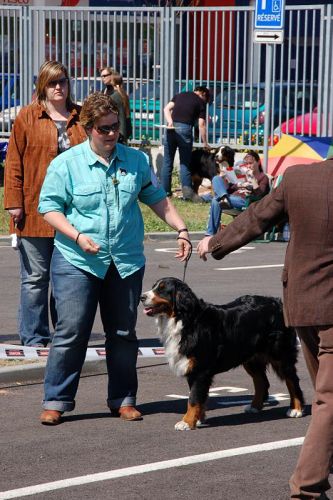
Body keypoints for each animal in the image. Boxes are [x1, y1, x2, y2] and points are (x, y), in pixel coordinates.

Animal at [140, 278, 304, 430]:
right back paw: (254, 406)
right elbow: (200, 397)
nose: (142, 297)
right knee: (262, 382)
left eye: (162, 289)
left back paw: (296, 409)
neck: (186, 320)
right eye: (154, 286)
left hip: (280, 355)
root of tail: (277, 302)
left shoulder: (200, 370)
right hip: (251, 360)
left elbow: (193, 398)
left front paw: (187, 422)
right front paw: (198, 419)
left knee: (292, 380)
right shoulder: (192, 368)